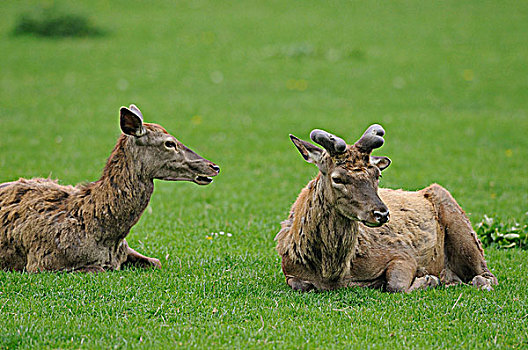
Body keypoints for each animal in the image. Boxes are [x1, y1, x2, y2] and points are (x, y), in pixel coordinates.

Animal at [278, 126, 498, 292]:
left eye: (377, 175)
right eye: (337, 178)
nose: (381, 213)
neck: (331, 272)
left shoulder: (403, 254)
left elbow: (395, 285)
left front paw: (430, 279)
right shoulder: (289, 270)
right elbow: (302, 285)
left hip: (461, 227)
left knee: (487, 275)